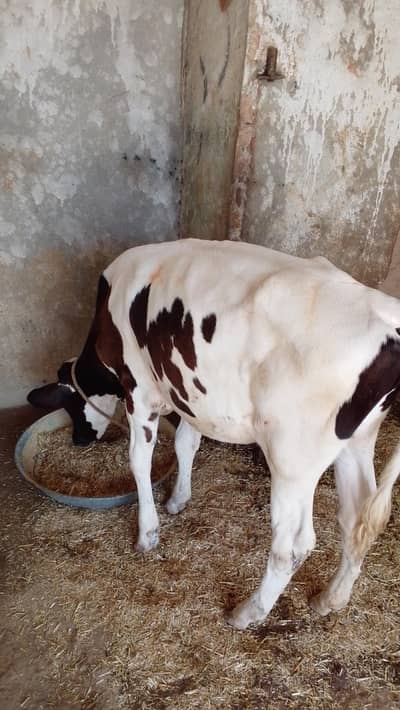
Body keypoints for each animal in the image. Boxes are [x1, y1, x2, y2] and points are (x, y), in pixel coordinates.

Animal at [28, 238, 400, 630]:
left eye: (70, 405)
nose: (79, 439)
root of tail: (385, 315)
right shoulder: (190, 393)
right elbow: (185, 444)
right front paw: (178, 499)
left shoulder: (140, 391)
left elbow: (139, 462)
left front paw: (147, 533)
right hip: (357, 441)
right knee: (357, 521)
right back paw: (330, 599)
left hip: (292, 461)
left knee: (293, 547)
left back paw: (248, 612)